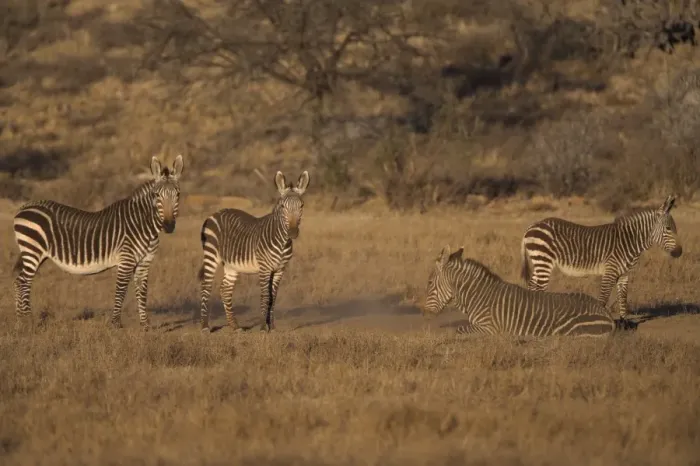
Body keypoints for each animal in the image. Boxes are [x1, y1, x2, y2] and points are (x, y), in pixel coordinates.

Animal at [12, 155, 184, 330]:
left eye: (177, 194)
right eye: (157, 195)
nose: (169, 226)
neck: (143, 224)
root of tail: (24, 207)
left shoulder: (144, 262)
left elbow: (142, 292)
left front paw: (145, 326)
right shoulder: (126, 260)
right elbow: (121, 290)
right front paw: (115, 324)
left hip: (36, 253)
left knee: (20, 281)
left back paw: (20, 321)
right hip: (32, 250)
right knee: (24, 281)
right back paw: (28, 321)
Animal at [198, 170, 310, 333]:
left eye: (301, 206)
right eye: (283, 206)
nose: (293, 232)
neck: (282, 241)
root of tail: (216, 213)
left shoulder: (280, 269)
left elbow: (273, 297)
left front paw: (272, 326)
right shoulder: (264, 268)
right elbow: (265, 296)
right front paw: (263, 327)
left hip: (231, 265)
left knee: (225, 290)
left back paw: (234, 326)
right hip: (211, 254)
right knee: (206, 287)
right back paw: (205, 326)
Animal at [423, 246, 617, 337]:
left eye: (430, 282)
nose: (426, 314)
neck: (477, 295)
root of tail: (607, 314)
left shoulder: (490, 328)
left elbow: (458, 330)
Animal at [520, 195, 682, 320]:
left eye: (675, 228)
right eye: (668, 228)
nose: (679, 252)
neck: (629, 241)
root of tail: (531, 227)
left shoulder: (624, 274)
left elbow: (623, 299)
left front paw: (625, 324)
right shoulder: (610, 271)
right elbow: (603, 299)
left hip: (539, 262)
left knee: (532, 285)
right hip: (543, 260)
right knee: (539, 288)